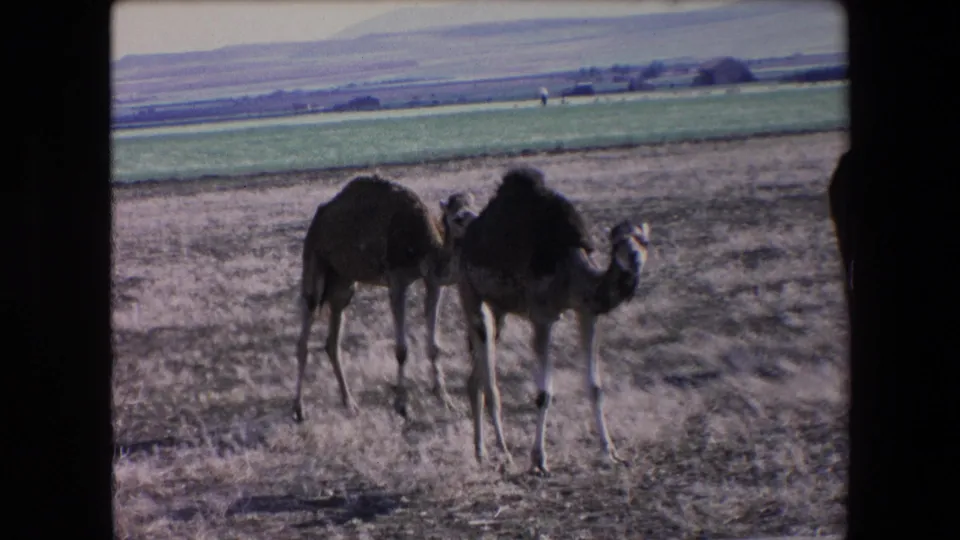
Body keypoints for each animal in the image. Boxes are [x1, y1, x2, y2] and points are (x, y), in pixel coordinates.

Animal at [293, 174, 477, 422]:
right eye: (458, 218)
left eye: (475, 208)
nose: (475, 224)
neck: (424, 244)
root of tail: (317, 220)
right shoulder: (397, 279)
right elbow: (402, 349)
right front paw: (402, 405)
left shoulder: (433, 282)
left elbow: (434, 345)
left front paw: (445, 399)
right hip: (314, 261)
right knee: (305, 329)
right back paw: (299, 408)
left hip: (343, 281)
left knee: (332, 339)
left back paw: (349, 403)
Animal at [456, 166, 651, 474]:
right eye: (617, 242)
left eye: (644, 240)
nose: (633, 257)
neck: (569, 266)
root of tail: (466, 240)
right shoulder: (542, 317)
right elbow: (543, 393)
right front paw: (539, 460)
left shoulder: (587, 312)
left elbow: (596, 387)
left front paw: (610, 452)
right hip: (469, 292)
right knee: (489, 379)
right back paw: (502, 452)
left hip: (499, 309)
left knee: (475, 377)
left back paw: (481, 452)